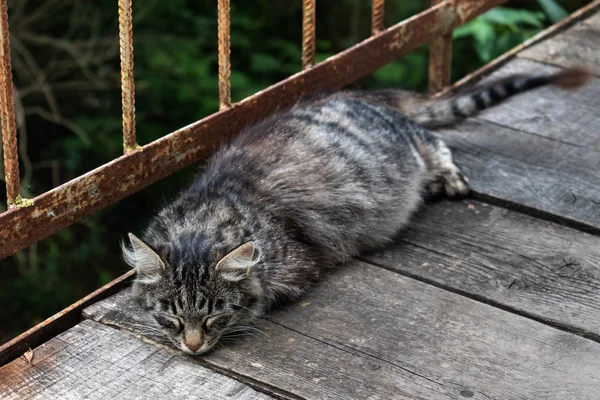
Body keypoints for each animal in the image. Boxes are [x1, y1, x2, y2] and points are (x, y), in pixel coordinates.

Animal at [122, 67, 592, 354]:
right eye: (172, 316)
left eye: (214, 313)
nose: (193, 346)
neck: (215, 206)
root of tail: (363, 98)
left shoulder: (296, 266)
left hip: (411, 143)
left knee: (436, 143)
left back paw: (447, 178)